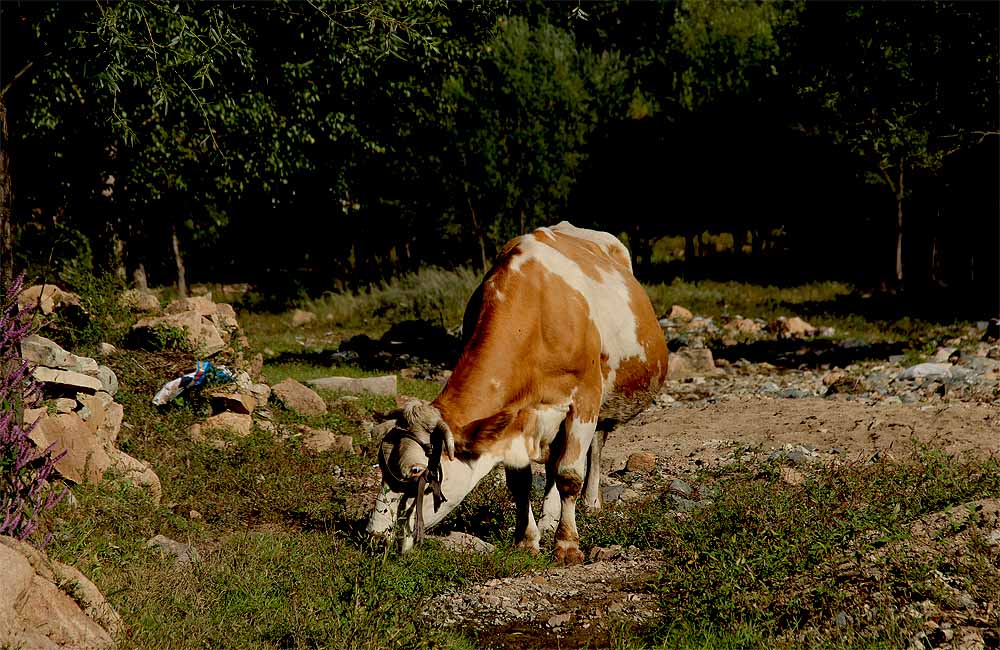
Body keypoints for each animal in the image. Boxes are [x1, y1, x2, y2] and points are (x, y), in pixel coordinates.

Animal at [364, 219, 668, 560]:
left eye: (416, 471)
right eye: (381, 464)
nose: (373, 536)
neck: (536, 315)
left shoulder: (584, 399)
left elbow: (569, 475)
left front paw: (567, 546)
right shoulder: (513, 418)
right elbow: (520, 481)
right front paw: (527, 540)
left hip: (607, 396)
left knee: (595, 446)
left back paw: (591, 503)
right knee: (552, 462)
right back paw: (549, 517)